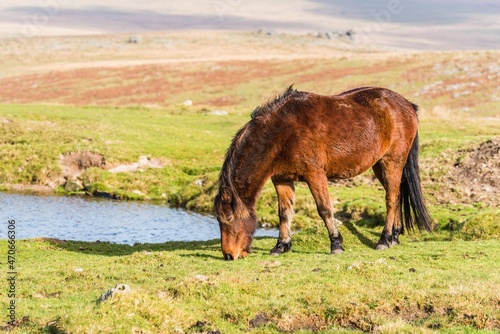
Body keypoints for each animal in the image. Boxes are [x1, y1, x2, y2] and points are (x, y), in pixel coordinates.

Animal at [213, 86, 432, 260]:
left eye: (229, 218)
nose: (229, 255)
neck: (282, 133)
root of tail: (406, 104)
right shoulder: (282, 179)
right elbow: (284, 213)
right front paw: (281, 245)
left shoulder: (315, 174)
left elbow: (324, 209)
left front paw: (336, 244)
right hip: (379, 165)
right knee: (396, 195)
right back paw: (394, 236)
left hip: (391, 162)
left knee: (391, 199)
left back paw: (384, 240)